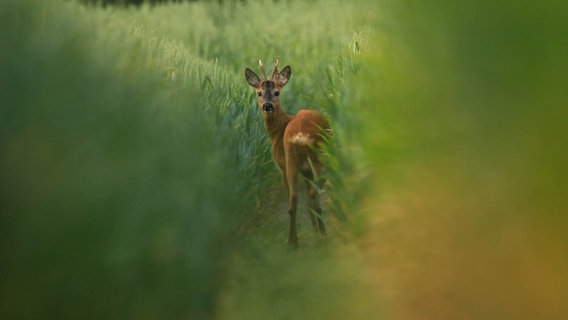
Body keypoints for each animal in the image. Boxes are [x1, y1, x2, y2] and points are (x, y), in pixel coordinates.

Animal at [243, 57, 330, 248]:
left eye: (277, 92)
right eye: (259, 93)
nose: (267, 106)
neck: (278, 132)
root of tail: (301, 135)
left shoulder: (281, 166)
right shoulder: (305, 170)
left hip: (299, 161)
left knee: (299, 198)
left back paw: (297, 240)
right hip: (314, 161)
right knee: (307, 196)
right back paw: (310, 236)